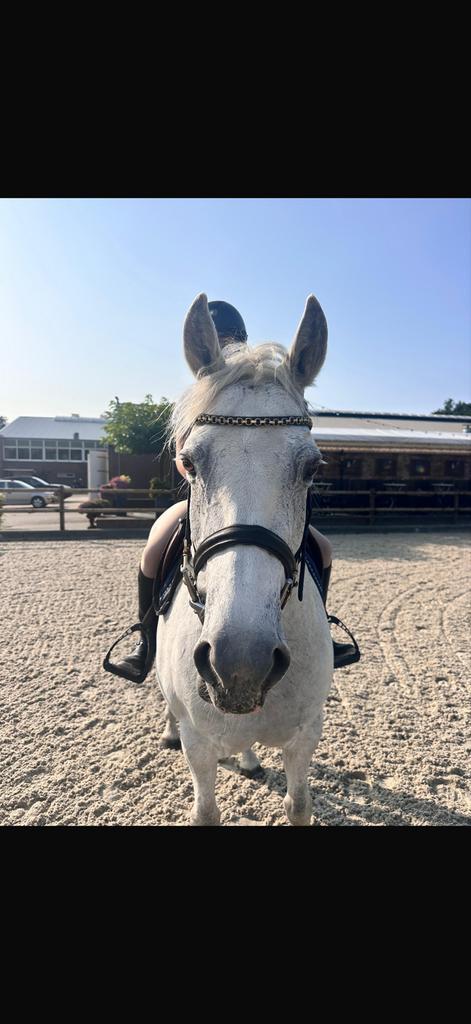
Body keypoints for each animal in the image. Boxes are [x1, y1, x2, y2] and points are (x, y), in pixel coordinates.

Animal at [156, 293, 333, 825]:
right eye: (188, 462)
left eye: (312, 467)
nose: (239, 663)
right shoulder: (199, 744)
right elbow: (205, 811)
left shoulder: (305, 736)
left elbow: (299, 804)